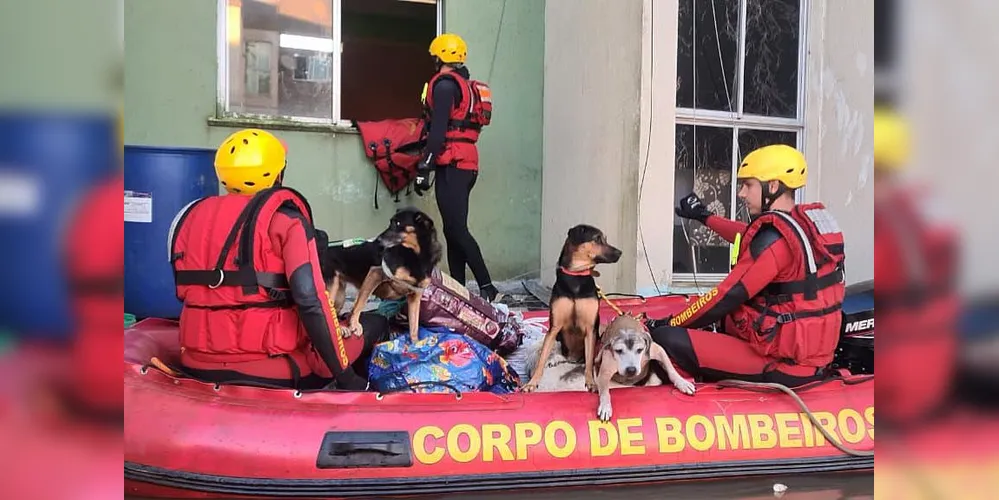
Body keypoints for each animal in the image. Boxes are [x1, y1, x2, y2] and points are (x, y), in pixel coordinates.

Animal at [322, 207, 444, 344]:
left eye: (397, 223)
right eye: (391, 222)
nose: (378, 241)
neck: (416, 255)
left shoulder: (415, 295)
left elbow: (414, 326)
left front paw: (416, 344)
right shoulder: (375, 273)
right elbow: (359, 304)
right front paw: (354, 325)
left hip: (340, 294)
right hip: (331, 288)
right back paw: (343, 328)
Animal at [520, 225, 620, 392]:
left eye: (604, 238)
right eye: (597, 238)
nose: (620, 253)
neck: (576, 275)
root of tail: (573, 358)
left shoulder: (590, 329)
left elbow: (589, 363)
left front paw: (591, 382)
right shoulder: (554, 327)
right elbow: (542, 358)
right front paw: (532, 383)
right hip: (559, 338)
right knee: (559, 354)